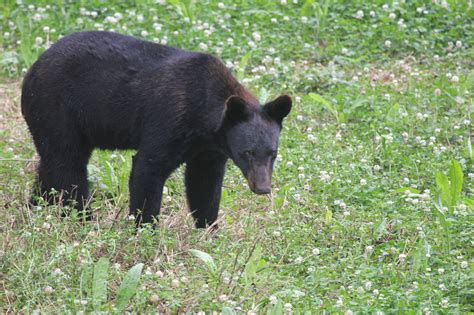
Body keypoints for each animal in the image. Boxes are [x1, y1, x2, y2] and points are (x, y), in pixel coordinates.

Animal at [23, 30, 292, 228]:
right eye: (247, 152)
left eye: (273, 153)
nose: (262, 188)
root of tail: (33, 68)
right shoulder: (170, 119)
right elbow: (148, 168)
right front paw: (144, 230)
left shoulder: (210, 148)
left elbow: (204, 183)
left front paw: (209, 230)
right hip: (57, 110)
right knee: (68, 166)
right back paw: (83, 220)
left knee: (51, 165)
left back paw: (36, 207)